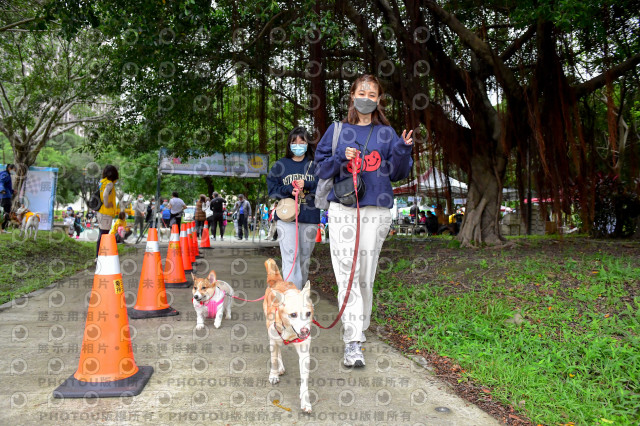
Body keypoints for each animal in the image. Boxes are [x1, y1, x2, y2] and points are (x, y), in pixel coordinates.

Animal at [264, 258, 314, 414]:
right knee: (277, 350)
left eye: (308, 313)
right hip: (272, 336)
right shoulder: (273, 340)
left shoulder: (304, 351)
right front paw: (273, 375)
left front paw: (305, 401)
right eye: (293, 315)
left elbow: (304, 380)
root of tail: (277, 281)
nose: (305, 331)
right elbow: (273, 360)